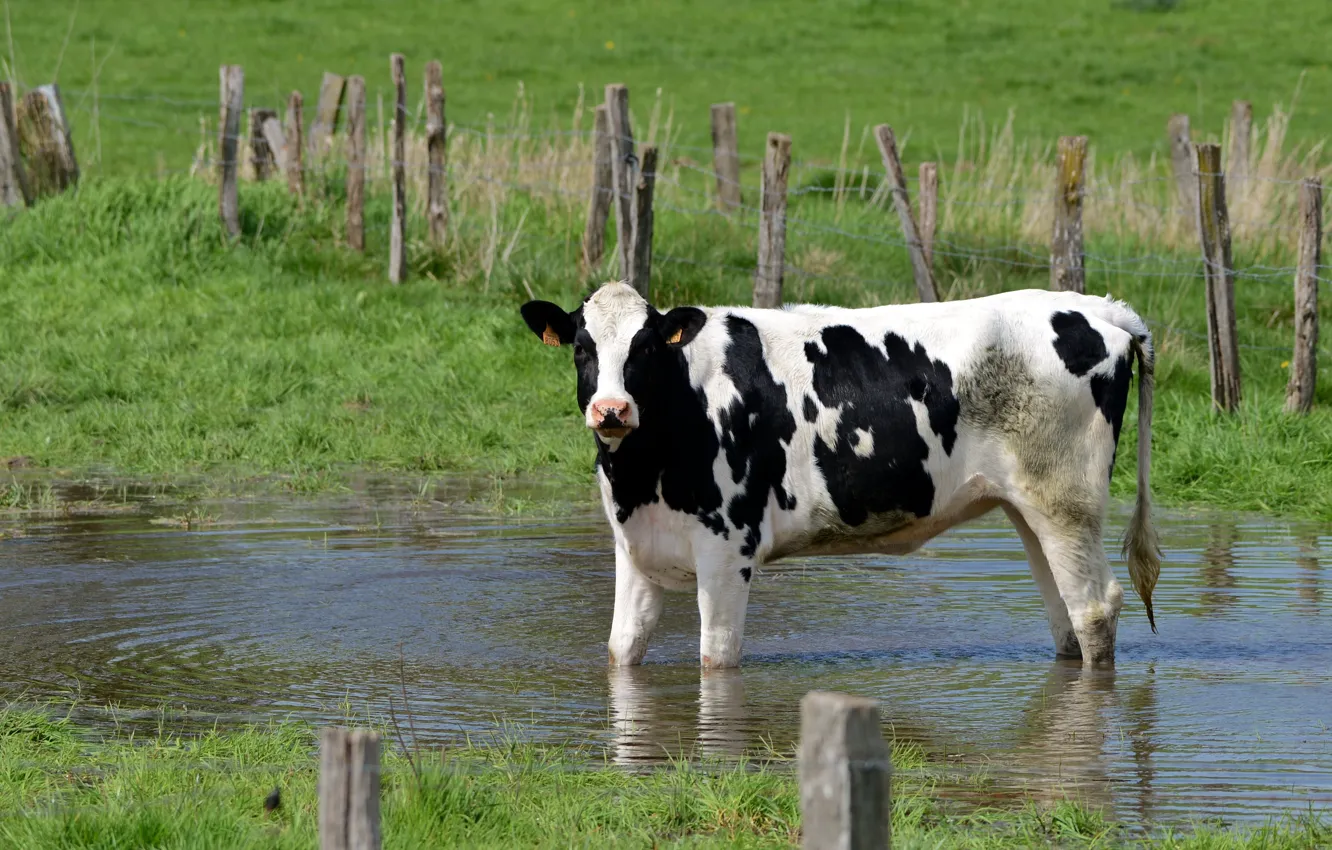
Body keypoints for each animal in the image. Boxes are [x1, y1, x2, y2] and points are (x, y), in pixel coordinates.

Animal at [521, 282, 1161, 668]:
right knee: (1064, 614)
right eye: (581, 348)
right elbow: (620, 652)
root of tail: (1096, 307)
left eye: (647, 348)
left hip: (1067, 501)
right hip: (1029, 505)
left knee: (1094, 609)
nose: (611, 410)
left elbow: (716, 660)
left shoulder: (728, 551)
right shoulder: (635, 549)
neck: (644, 471)